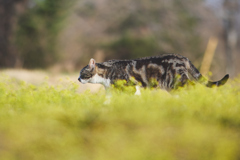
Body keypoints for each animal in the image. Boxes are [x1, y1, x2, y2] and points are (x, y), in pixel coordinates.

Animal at [78, 54, 229, 92]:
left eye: (82, 73)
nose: (78, 79)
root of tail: (183, 57)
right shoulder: (111, 91)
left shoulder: (131, 87)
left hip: (176, 82)